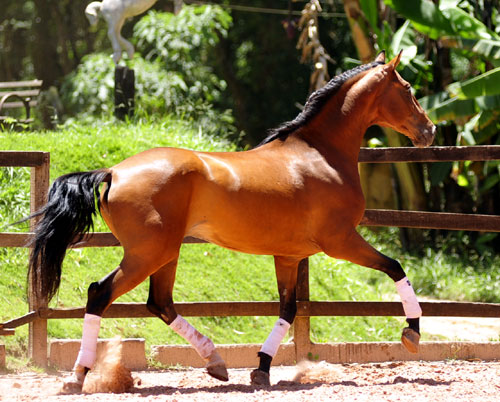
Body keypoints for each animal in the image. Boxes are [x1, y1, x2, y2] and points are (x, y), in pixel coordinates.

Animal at [27, 51, 435, 391]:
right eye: (408, 89)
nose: (429, 131)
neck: (320, 154)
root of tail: (113, 171)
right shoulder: (340, 242)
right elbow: (395, 268)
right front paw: (412, 332)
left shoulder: (289, 256)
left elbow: (287, 310)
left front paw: (262, 368)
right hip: (147, 254)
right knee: (101, 294)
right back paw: (79, 375)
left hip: (164, 254)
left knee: (161, 303)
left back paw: (216, 362)